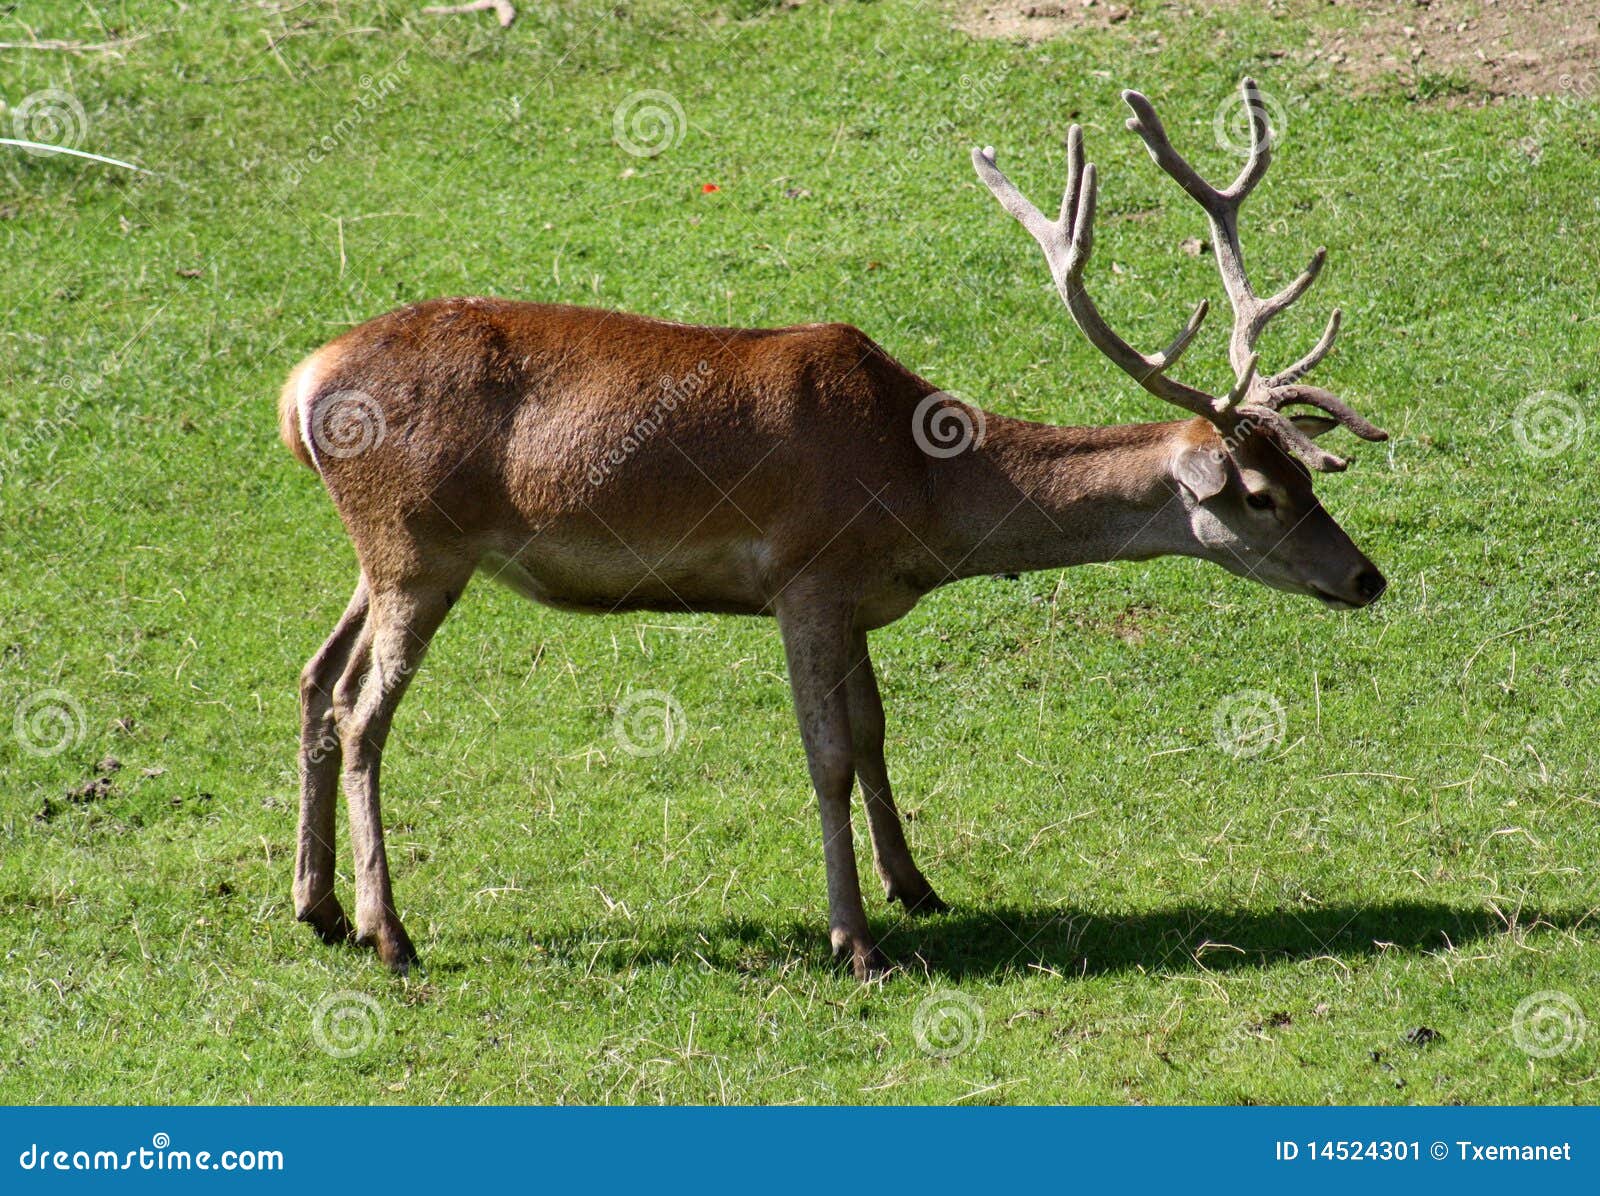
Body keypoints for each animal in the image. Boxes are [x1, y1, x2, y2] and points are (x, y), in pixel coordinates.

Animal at [278, 80, 1387, 981]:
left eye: (1306, 473)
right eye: (1258, 492)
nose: (1367, 578)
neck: (920, 496)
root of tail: (299, 387)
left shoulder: (854, 597)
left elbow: (874, 727)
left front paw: (917, 885)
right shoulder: (806, 573)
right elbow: (827, 755)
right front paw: (854, 939)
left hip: (384, 554)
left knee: (317, 679)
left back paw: (318, 907)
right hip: (418, 545)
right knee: (365, 712)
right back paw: (391, 933)